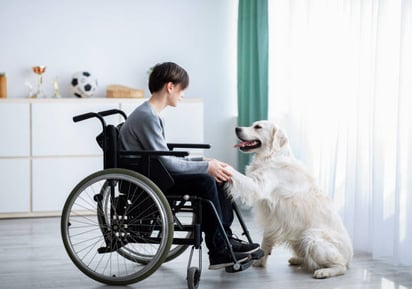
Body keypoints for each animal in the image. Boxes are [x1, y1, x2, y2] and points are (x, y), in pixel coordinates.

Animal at [227, 119, 352, 276]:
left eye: (258, 127)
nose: (237, 128)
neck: (273, 155)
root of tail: (349, 257)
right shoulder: (271, 217)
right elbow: (266, 240)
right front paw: (260, 262)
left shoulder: (257, 185)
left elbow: (236, 174)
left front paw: (218, 165)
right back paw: (297, 260)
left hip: (312, 237)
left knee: (340, 266)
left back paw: (324, 272)